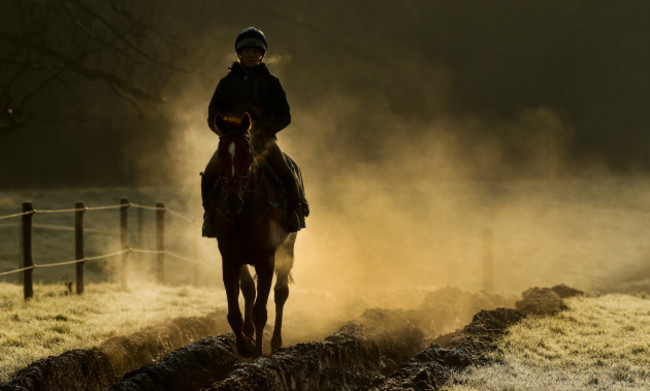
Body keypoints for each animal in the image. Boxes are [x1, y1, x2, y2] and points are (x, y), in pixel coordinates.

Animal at [208, 113, 296, 358]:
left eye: (247, 154)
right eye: (220, 153)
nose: (232, 198)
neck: (243, 212)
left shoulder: (266, 259)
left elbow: (261, 311)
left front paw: (257, 353)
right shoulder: (229, 259)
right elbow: (234, 311)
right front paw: (244, 346)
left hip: (288, 248)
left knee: (280, 293)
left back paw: (275, 342)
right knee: (249, 290)